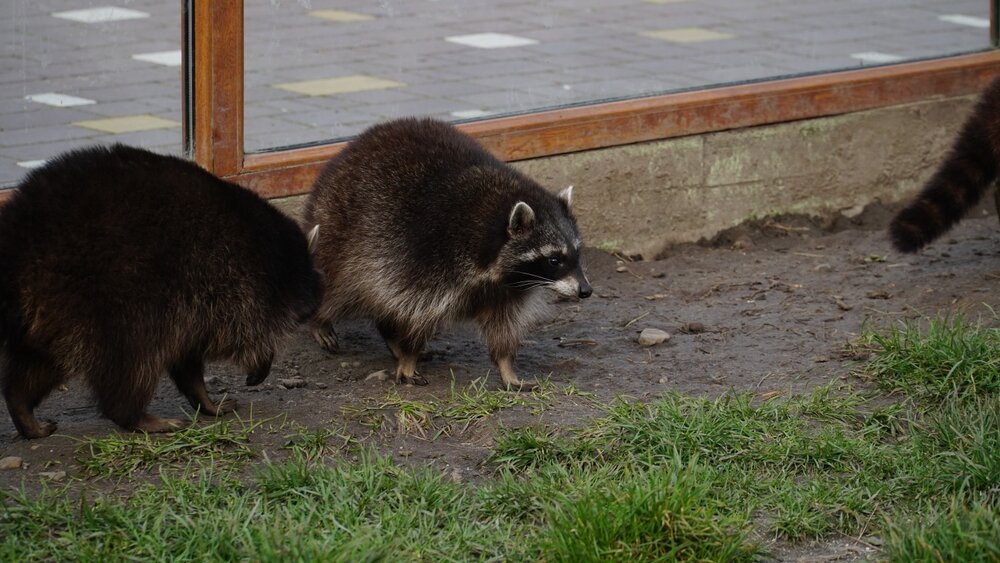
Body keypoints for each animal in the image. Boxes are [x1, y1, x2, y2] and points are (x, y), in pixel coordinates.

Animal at [0, 144, 322, 439]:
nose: (314, 310)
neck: (282, 257)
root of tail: (16, 238)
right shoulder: (241, 284)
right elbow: (247, 336)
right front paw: (262, 361)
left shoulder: (196, 306)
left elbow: (188, 357)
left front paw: (203, 399)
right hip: (104, 295)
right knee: (132, 359)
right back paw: (133, 415)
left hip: (51, 312)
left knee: (41, 362)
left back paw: (21, 406)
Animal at [304, 117, 591, 388]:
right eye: (554, 260)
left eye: (577, 254)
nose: (586, 291)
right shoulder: (428, 260)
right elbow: (415, 313)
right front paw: (409, 356)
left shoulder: (506, 291)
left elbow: (503, 326)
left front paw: (506, 366)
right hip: (341, 234)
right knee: (341, 286)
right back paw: (321, 318)